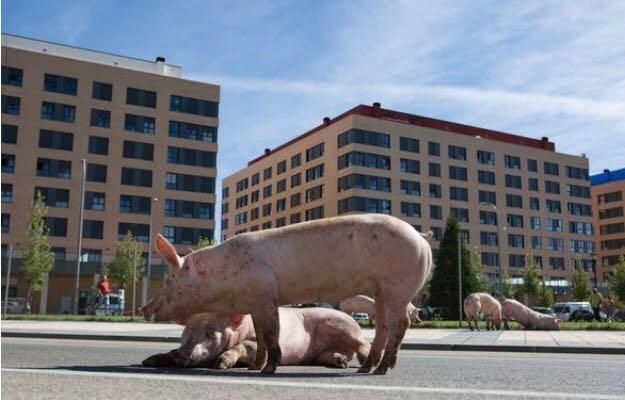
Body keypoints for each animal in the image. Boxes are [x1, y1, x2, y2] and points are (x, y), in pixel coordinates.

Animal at [143, 308, 370, 370]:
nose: (184, 355)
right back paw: (341, 363)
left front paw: (220, 365)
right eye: (188, 329)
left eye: (212, 332)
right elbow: (170, 351)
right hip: (321, 353)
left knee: (363, 344)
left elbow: (243, 346)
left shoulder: (256, 343)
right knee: (330, 356)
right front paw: (149, 361)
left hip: (343, 327)